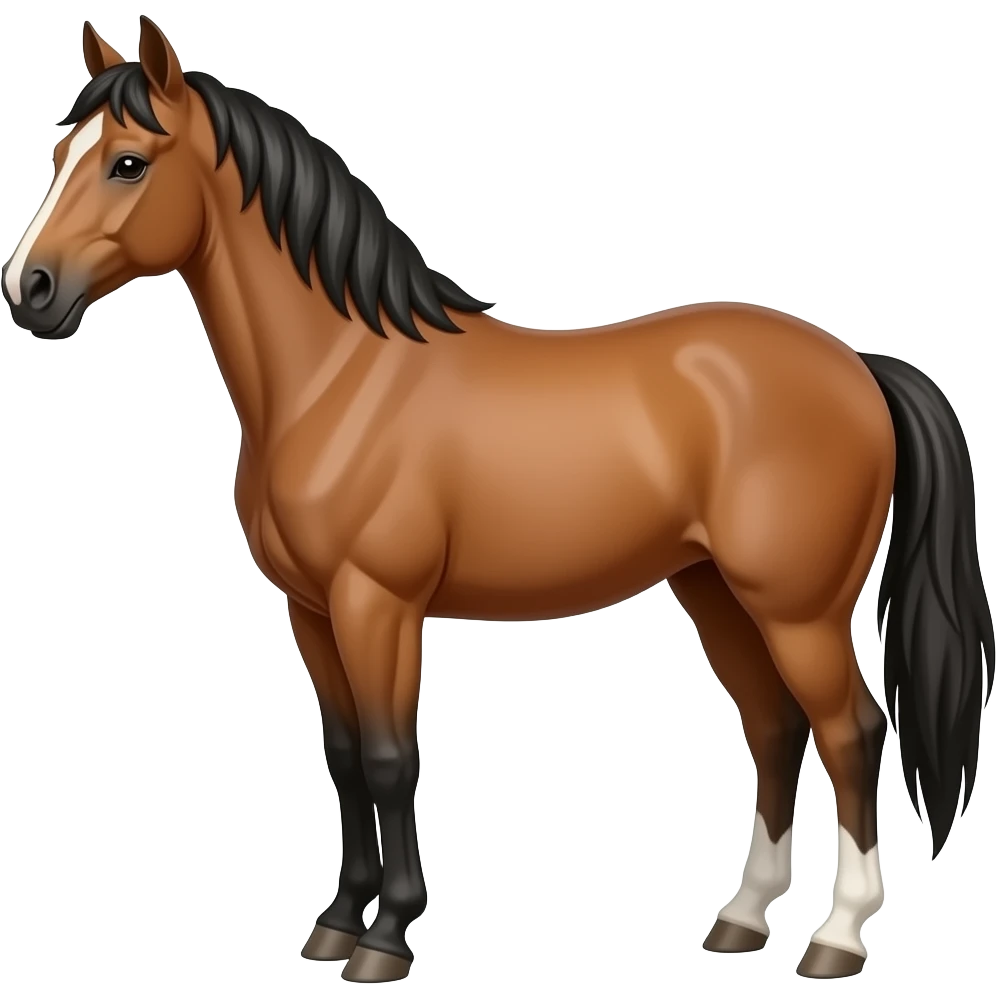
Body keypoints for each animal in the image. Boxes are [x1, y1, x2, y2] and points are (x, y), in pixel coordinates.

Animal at [3, 16, 993, 984]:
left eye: (129, 162)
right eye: (59, 152)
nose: (30, 289)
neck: (339, 377)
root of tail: (856, 364)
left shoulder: (377, 603)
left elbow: (391, 758)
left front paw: (385, 938)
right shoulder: (311, 610)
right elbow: (344, 758)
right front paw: (334, 923)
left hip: (797, 609)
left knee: (850, 731)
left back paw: (837, 936)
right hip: (715, 592)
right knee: (776, 728)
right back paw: (742, 919)